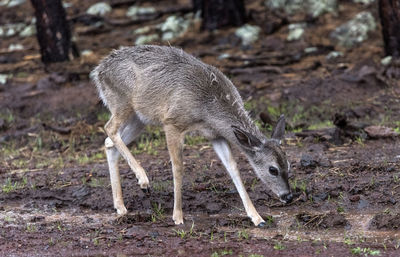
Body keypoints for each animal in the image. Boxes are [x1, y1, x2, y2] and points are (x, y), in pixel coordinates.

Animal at [90, 44, 290, 226]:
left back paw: (121, 206)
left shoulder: (215, 135)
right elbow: (178, 167)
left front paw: (257, 218)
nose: (289, 196)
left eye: (288, 164)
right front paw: (177, 216)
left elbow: (233, 168)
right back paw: (143, 181)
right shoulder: (172, 122)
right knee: (109, 128)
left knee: (109, 143)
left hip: (140, 118)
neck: (208, 108)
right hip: (122, 102)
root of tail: (98, 71)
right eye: (273, 169)